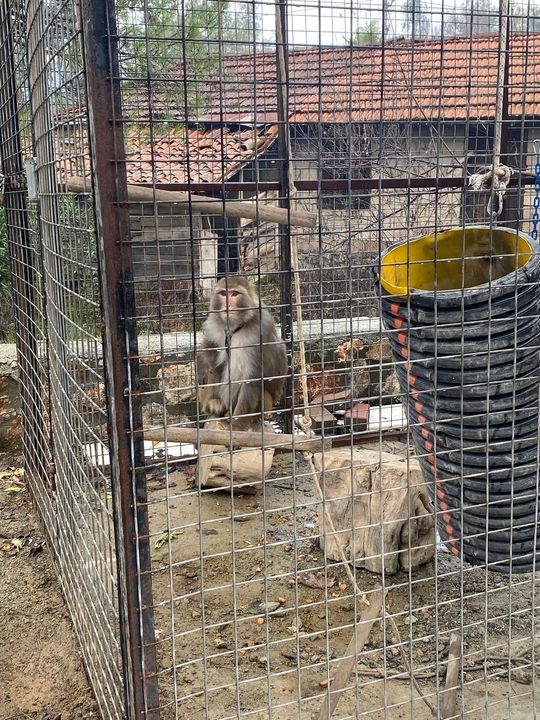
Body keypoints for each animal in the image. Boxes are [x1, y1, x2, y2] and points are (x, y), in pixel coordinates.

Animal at [194, 278, 286, 430]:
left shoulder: (261, 334)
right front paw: (202, 364)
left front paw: (237, 426)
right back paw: (214, 403)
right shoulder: (214, 325)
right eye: (223, 294)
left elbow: (252, 380)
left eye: (235, 294)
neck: (236, 327)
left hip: (265, 405)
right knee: (214, 367)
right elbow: (209, 346)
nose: (227, 305)